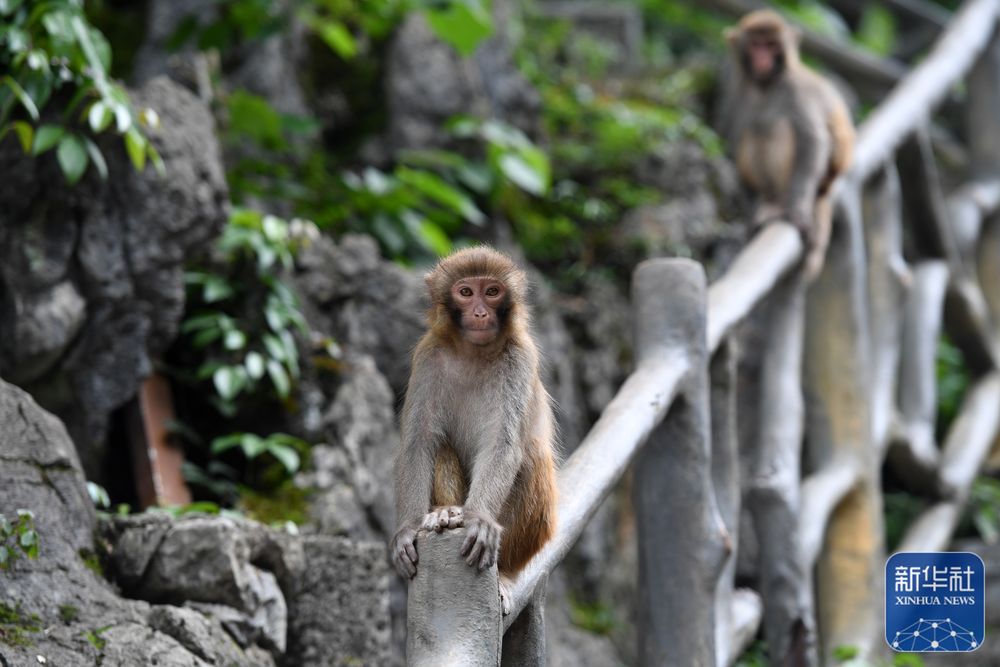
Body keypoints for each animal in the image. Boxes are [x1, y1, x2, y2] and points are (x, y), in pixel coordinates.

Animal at [390, 245, 560, 612]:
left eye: (492, 291)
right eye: (466, 292)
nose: (481, 313)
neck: (474, 352)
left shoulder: (520, 358)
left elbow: (502, 444)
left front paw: (480, 518)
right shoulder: (428, 356)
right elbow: (419, 442)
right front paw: (408, 529)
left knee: (530, 456)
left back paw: (505, 573)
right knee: (440, 444)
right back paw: (447, 513)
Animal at [724, 10, 856, 276]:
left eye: (771, 45)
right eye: (756, 45)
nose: (762, 58)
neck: (766, 86)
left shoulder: (797, 90)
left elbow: (813, 140)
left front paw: (797, 210)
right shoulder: (739, 94)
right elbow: (734, 140)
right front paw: (749, 215)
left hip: (822, 179)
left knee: (777, 128)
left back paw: (784, 203)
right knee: (753, 131)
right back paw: (768, 202)